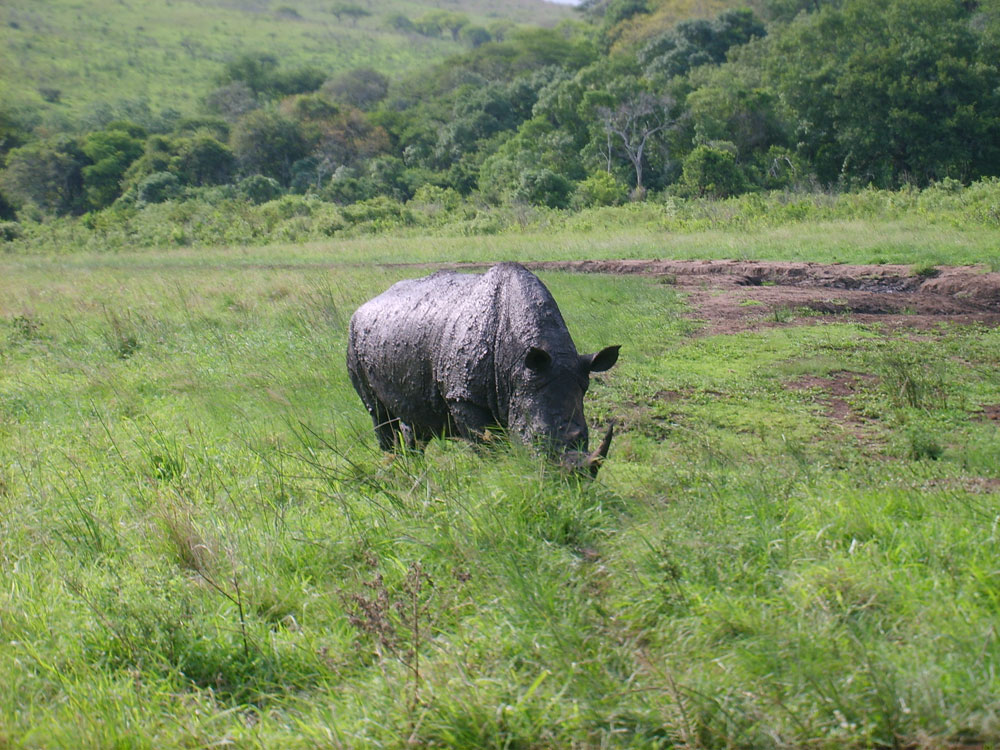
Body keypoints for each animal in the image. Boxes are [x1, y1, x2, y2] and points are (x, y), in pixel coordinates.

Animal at [346, 262, 620, 475]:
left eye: (584, 437)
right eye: (536, 437)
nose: (572, 481)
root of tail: (363, 306)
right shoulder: (463, 396)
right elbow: (491, 446)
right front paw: (499, 472)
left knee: (412, 418)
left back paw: (416, 468)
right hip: (353, 339)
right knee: (378, 414)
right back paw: (393, 465)